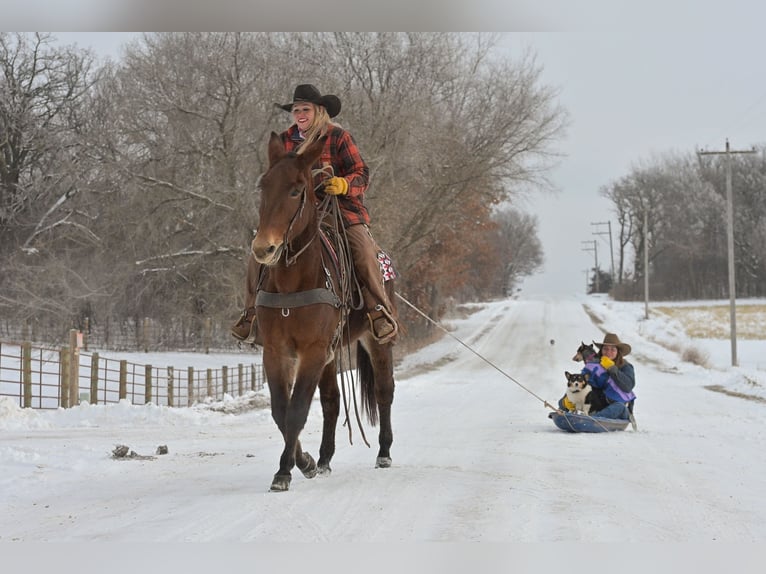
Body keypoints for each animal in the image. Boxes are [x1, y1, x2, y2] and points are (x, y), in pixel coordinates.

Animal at [250, 131, 397, 492]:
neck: (293, 283)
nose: (263, 248)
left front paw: (285, 471)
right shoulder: (277, 351)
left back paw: (384, 452)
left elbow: (297, 410)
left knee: (384, 391)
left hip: (376, 341)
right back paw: (325, 458)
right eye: (264, 186)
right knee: (332, 401)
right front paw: (305, 461)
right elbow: (281, 410)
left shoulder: (313, 351)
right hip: (331, 355)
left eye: (295, 190)